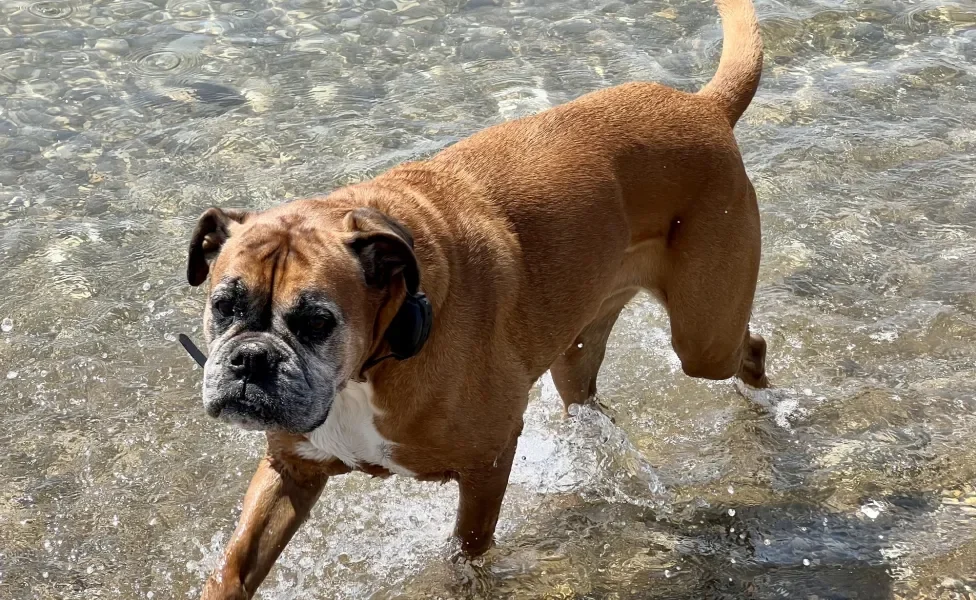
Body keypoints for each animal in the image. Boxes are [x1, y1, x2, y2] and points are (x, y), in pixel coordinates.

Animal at [189, 1, 772, 596]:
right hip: (578, 352)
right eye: (224, 306)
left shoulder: (488, 460)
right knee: (593, 404)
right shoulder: (291, 470)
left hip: (704, 338)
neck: (376, 356)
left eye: (316, 321)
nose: (250, 359)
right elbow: (236, 564)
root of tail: (703, 106)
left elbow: (468, 546)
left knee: (749, 347)